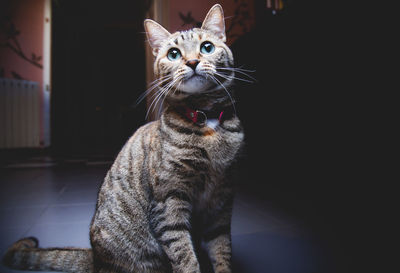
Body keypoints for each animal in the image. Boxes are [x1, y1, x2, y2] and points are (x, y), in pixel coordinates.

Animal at [3, 4, 244, 272]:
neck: (206, 119)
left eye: (207, 47)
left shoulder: (222, 199)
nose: (192, 61)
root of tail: (95, 258)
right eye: (173, 54)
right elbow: (184, 255)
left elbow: (222, 250)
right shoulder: (168, 200)